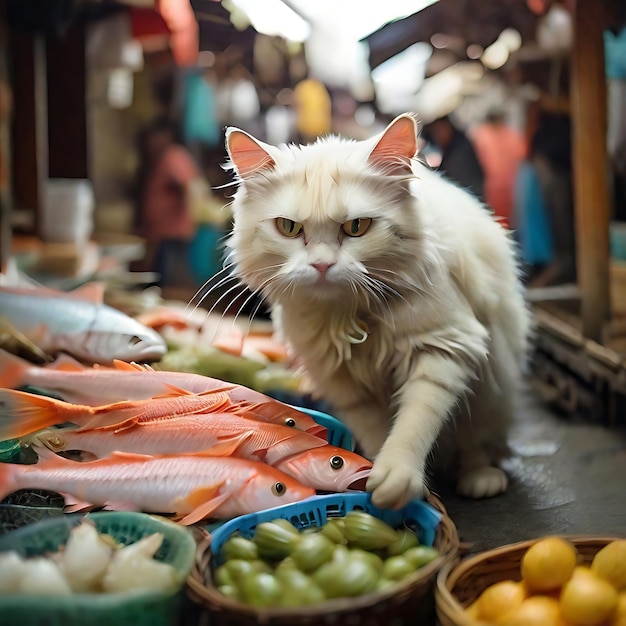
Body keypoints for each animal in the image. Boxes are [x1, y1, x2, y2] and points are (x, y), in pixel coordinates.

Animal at [222, 114, 528, 510]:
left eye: (356, 227)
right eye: (289, 228)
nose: (322, 265)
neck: (346, 315)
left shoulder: (446, 345)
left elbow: (415, 421)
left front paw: (396, 479)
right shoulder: (339, 379)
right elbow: (375, 429)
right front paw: (376, 476)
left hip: (491, 387)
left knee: (479, 443)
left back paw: (480, 478)